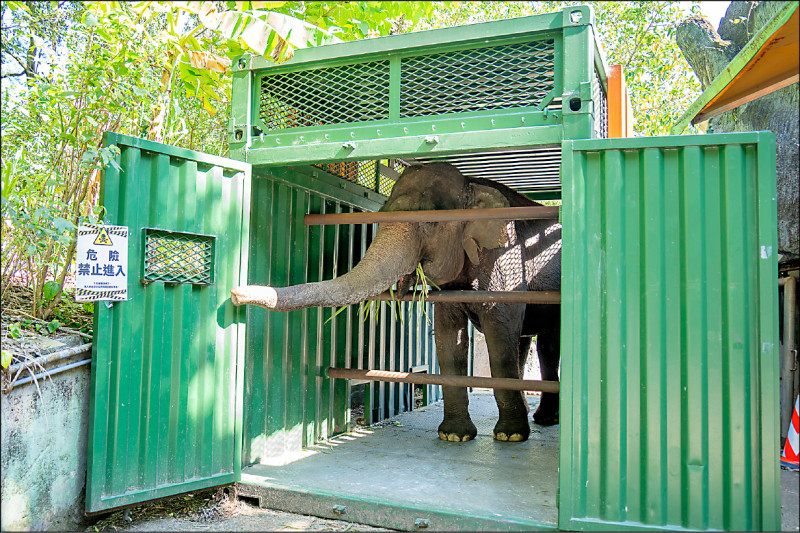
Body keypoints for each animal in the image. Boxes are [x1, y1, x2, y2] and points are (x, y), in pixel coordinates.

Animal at [231, 162, 561, 442]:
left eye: (431, 222)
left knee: (544, 346)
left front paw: (510, 436)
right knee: (526, 343)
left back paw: (541, 420)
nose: (235, 294)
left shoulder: (505, 259)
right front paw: (453, 436)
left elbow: (498, 331)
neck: (472, 184)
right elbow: (447, 338)